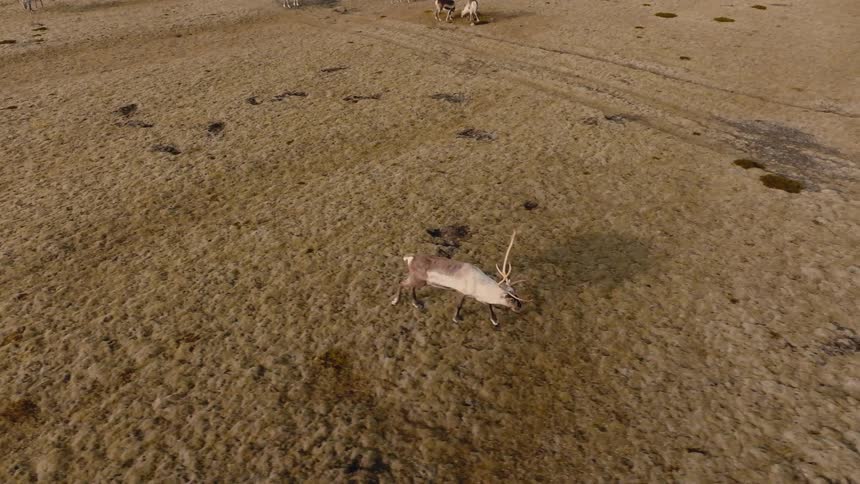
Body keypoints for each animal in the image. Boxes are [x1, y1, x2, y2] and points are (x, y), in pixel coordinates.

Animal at [392, 231, 528, 326]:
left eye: (516, 294)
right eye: (511, 299)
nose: (519, 307)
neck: (480, 285)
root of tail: (409, 258)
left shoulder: (479, 296)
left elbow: (489, 305)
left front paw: (495, 321)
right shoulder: (462, 292)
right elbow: (459, 306)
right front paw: (456, 319)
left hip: (419, 280)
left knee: (410, 286)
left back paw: (416, 303)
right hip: (419, 280)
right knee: (401, 282)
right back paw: (395, 301)